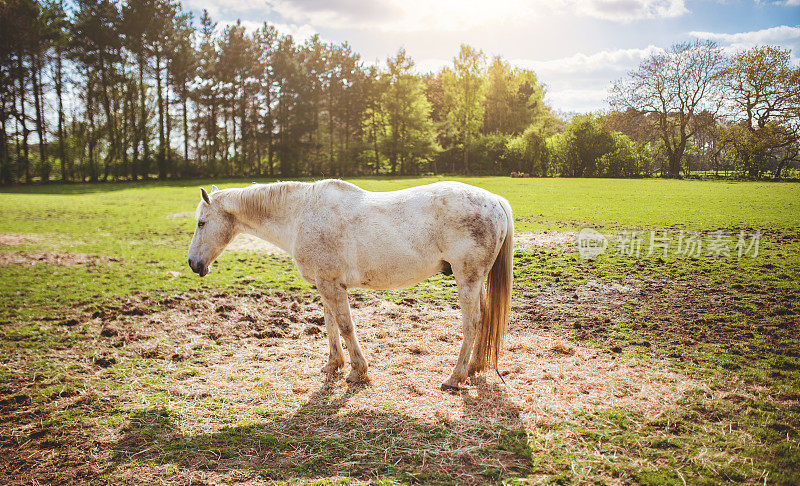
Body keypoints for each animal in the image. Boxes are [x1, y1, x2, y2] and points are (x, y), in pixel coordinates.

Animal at [187, 179, 512, 392]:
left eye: (202, 222)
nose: (193, 264)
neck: (301, 214)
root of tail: (495, 200)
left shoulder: (330, 285)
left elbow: (345, 326)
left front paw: (358, 372)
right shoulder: (327, 284)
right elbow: (330, 324)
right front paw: (333, 365)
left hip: (467, 279)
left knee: (472, 323)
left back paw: (455, 378)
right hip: (475, 281)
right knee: (483, 321)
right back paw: (474, 368)